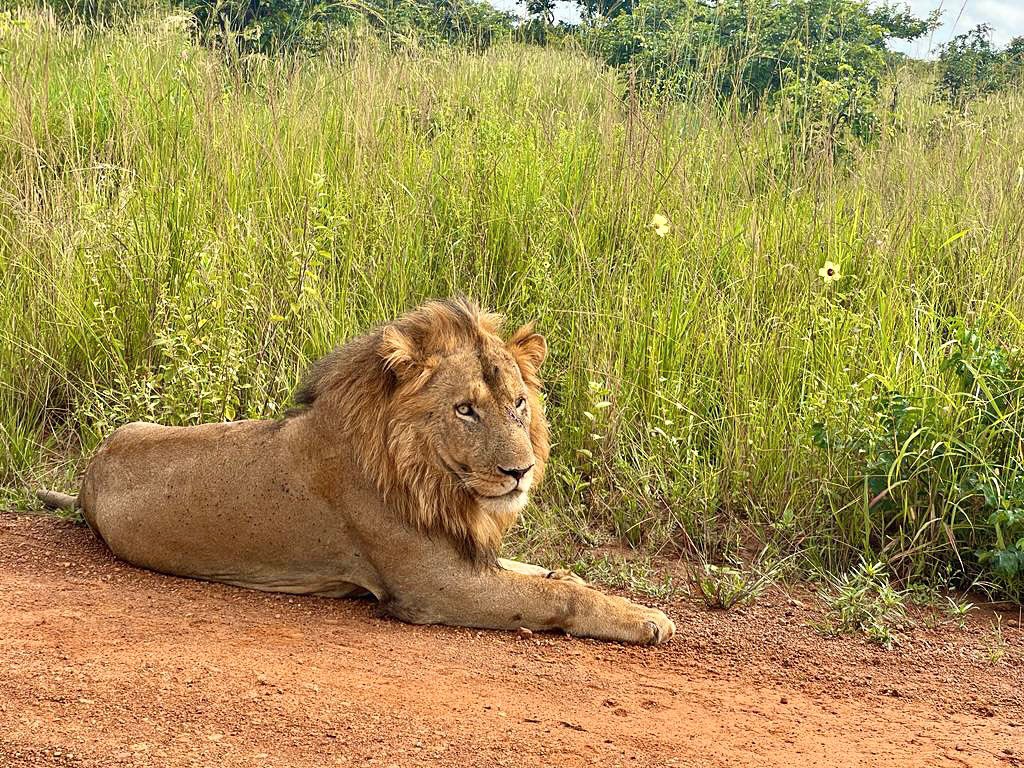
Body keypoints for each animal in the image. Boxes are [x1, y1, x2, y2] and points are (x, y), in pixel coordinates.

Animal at [38, 299, 674, 645]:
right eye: (465, 409)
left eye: (518, 404)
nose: (520, 470)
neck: (435, 483)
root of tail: (88, 475)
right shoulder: (435, 587)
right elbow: (559, 598)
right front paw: (648, 618)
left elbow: (555, 576)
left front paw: (585, 582)